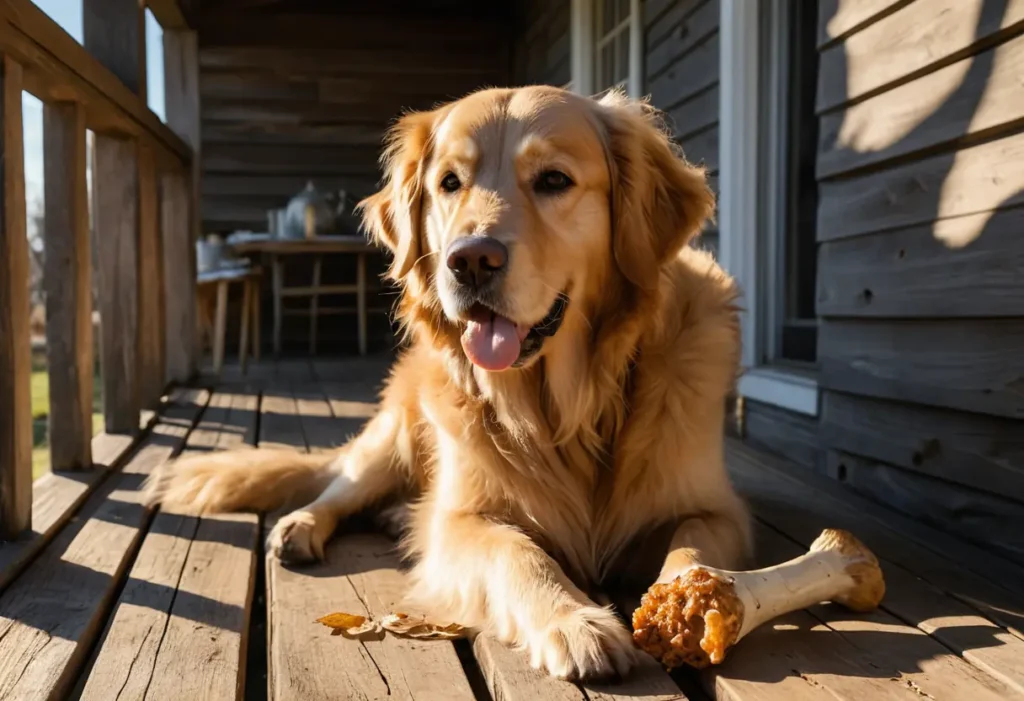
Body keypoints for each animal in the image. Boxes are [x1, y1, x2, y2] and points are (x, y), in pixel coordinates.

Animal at [148, 84, 749, 679]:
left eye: (554, 180)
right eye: (449, 183)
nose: (471, 261)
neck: (569, 409)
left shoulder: (716, 512)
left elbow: (691, 549)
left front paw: (687, 604)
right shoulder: (461, 519)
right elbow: (518, 551)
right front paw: (575, 622)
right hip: (392, 437)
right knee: (341, 486)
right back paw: (302, 524)